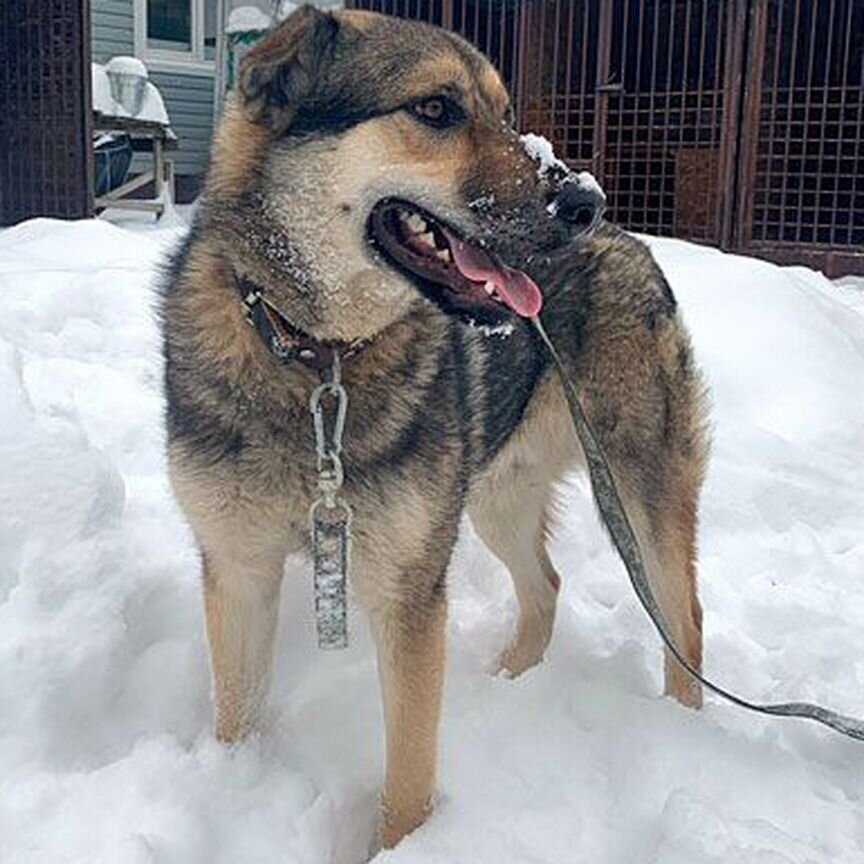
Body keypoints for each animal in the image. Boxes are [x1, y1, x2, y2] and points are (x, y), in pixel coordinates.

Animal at [160, 3, 708, 848]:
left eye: (506, 114)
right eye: (435, 109)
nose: (586, 201)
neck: (317, 359)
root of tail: (634, 244)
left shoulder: (409, 593)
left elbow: (410, 776)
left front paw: (405, 846)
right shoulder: (238, 570)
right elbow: (236, 717)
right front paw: (230, 790)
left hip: (640, 486)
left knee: (684, 617)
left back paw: (682, 730)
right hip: (492, 499)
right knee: (545, 585)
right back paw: (512, 681)